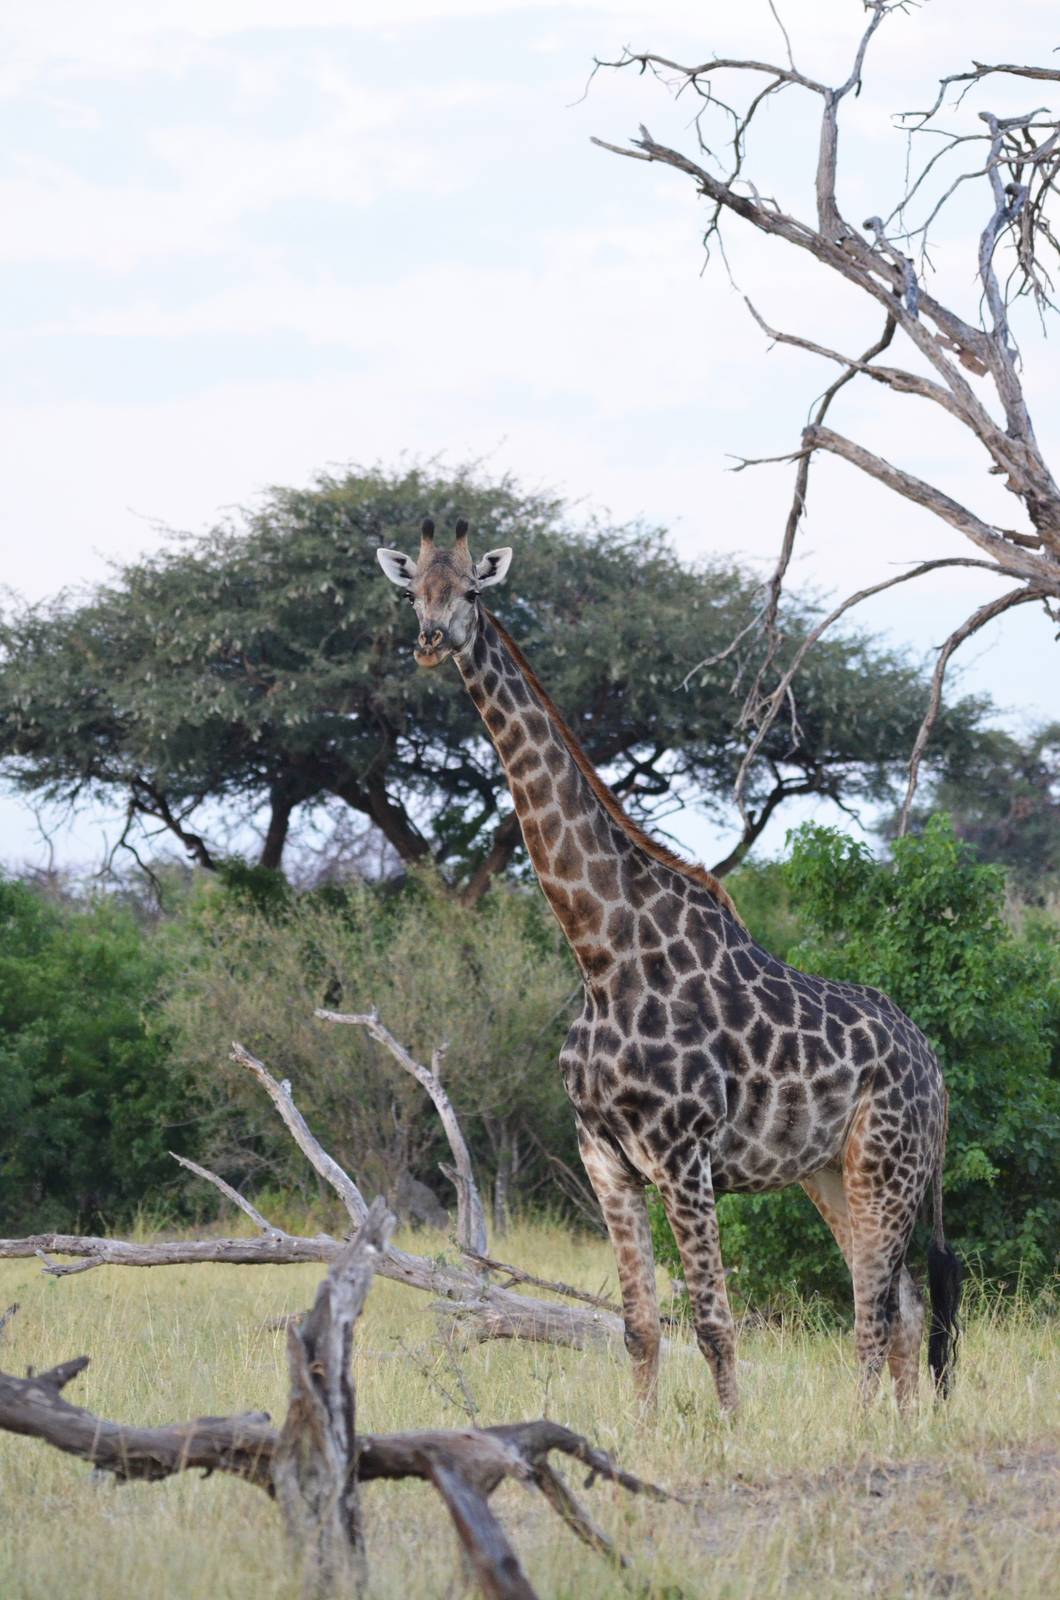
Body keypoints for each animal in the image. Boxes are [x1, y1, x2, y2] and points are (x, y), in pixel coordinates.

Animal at [376, 519, 963, 1416]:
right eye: (413, 593)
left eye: (473, 591)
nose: (433, 641)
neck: (599, 952)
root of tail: (934, 1065)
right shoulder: (605, 1159)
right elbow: (639, 1328)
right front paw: (643, 1437)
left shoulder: (685, 1157)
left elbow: (716, 1324)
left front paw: (732, 1433)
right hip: (830, 1173)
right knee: (901, 1306)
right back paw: (900, 1428)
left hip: (885, 1165)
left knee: (874, 1312)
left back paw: (868, 1430)